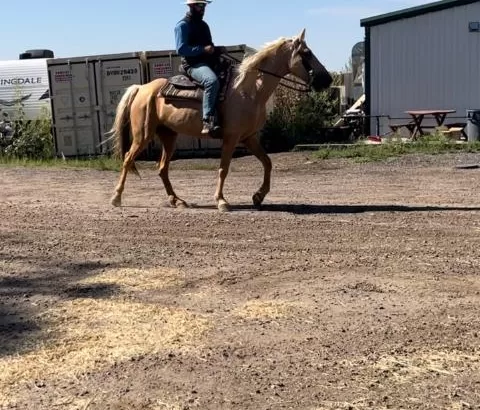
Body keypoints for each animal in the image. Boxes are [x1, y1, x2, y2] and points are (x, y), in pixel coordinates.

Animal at [108, 28, 334, 211]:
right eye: (307, 53)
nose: (328, 79)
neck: (249, 90)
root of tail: (141, 88)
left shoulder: (249, 137)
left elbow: (267, 163)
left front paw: (258, 196)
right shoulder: (231, 138)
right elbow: (224, 169)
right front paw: (221, 201)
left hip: (168, 136)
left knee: (162, 168)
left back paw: (177, 201)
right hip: (142, 135)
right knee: (128, 159)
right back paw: (116, 198)